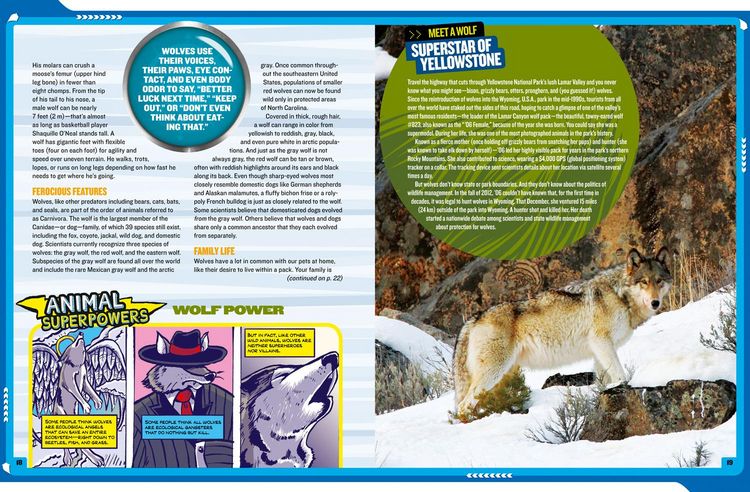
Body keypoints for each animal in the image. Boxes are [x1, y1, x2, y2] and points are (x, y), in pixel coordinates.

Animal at [453, 247, 672, 416]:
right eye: (644, 281)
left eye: (659, 280)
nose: (655, 302)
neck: (621, 297)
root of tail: (473, 319)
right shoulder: (601, 342)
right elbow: (620, 375)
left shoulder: (599, 351)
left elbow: (603, 382)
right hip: (493, 373)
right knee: (463, 406)